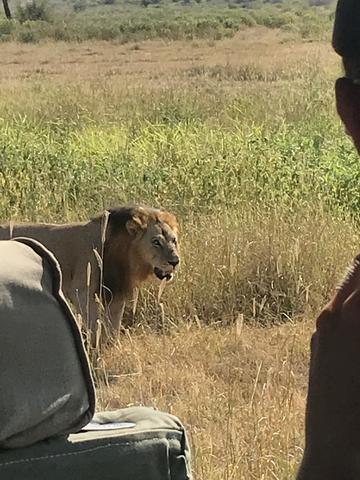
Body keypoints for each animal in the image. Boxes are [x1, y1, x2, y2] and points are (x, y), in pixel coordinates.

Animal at [0, 204, 180, 340]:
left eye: (174, 241)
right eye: (156, 242)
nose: (175, 261)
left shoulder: (116, 294)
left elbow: (113, 330)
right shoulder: (82, 291)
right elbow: (95, 326)